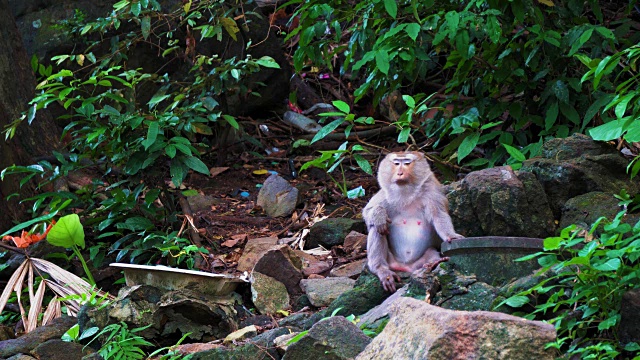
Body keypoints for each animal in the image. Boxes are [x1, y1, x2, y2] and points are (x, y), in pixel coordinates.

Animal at [362, 150, 462, 292]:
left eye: (407, 163)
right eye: (396, 163)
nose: (400, 173)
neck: (407, 192)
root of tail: (405, 267)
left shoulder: (432, 189)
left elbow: (439, 214)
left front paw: (451, 236)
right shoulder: (386, 193)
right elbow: (368, 212)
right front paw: (379, 214)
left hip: (420, 261)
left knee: (431, 252)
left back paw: (433, 263)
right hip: (390, 261)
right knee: (377, 228)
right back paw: (381, 269)